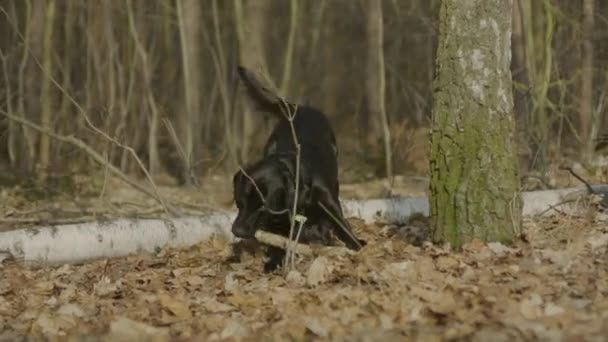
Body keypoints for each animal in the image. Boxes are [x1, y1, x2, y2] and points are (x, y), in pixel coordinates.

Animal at [232, 65, 366, 272]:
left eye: (263, 205)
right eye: (240, 201)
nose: (236, 231)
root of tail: (299, 108)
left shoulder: (328, 202)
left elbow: (342, 225)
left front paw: (357, 246)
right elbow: (279, 239)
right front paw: (274, 261)